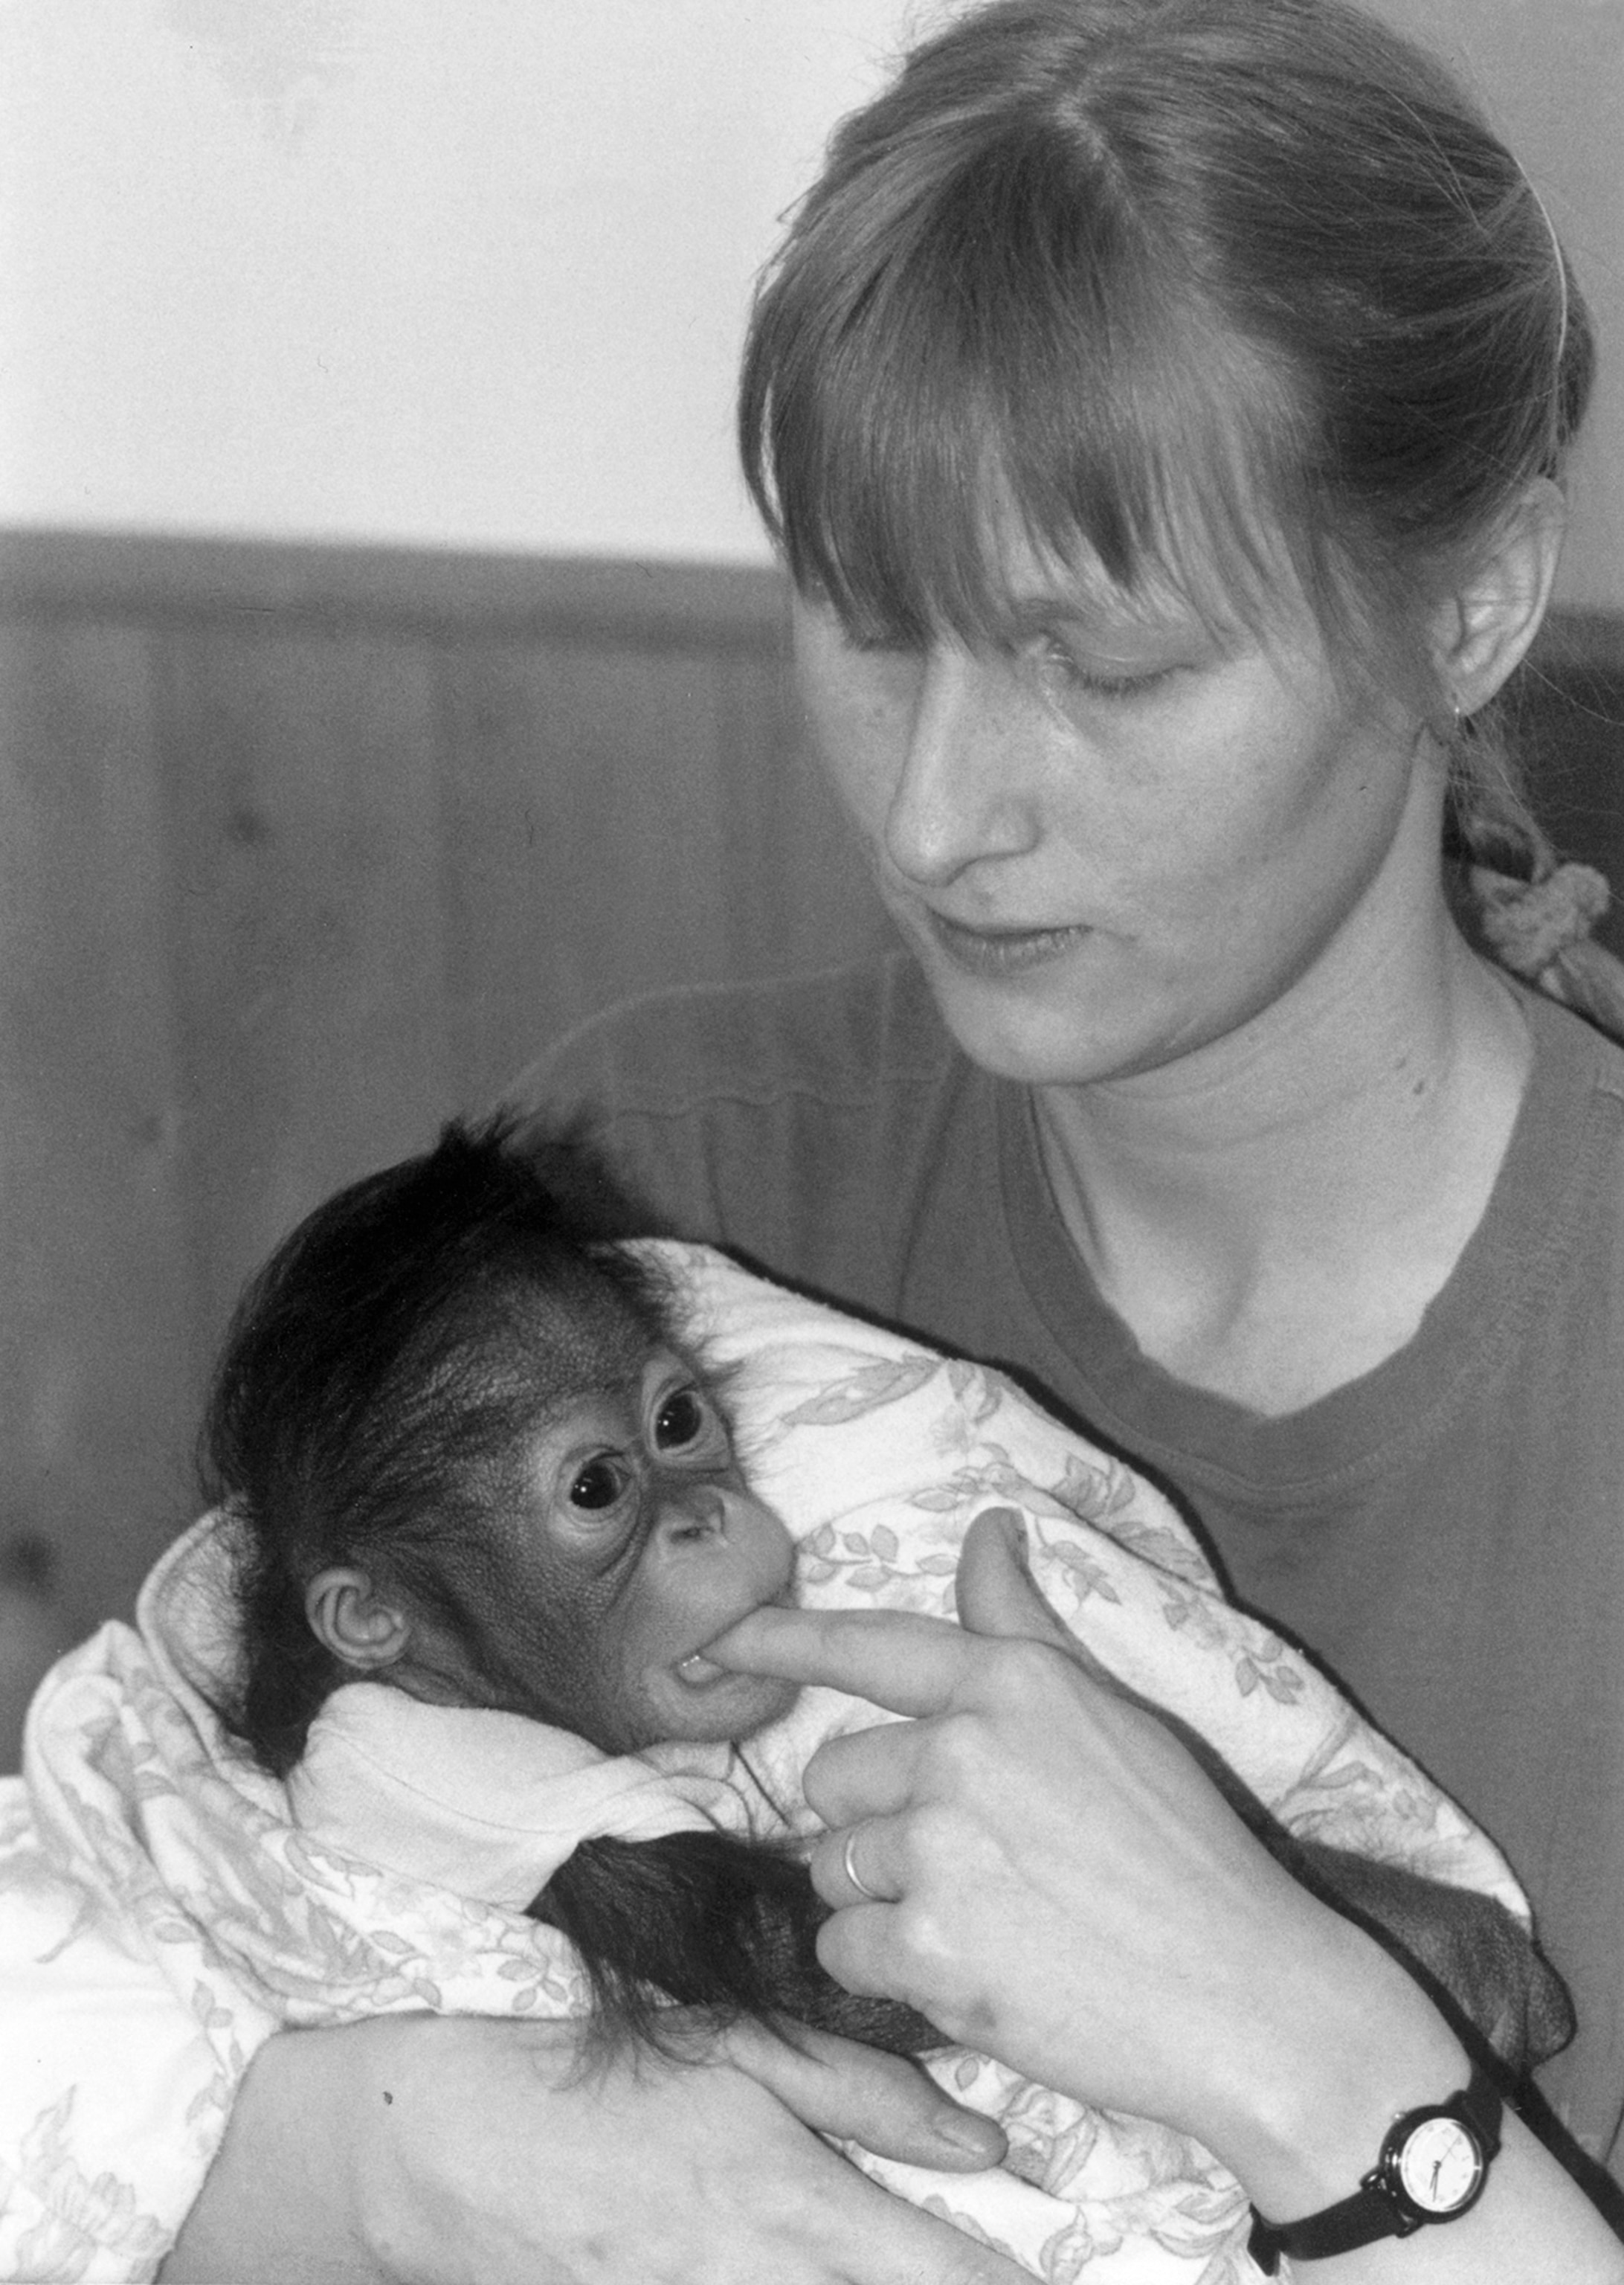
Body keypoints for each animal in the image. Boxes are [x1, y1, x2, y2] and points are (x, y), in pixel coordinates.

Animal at [204, 1118, 1573, 2079]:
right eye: (596, 1486)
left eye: (679, 1421)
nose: (706, 1515)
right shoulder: (464, 1774)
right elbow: (807, 1947)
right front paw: (1450, 1947)